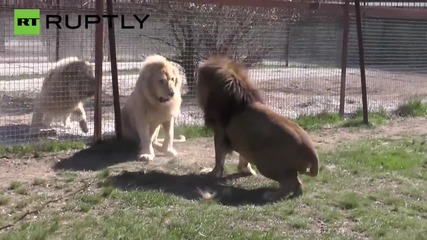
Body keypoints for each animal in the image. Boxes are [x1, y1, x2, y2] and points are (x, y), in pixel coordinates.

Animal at [196, 56, 320, 201]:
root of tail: (311, 152)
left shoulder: (220, 134)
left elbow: (219, 158)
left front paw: (212, 173)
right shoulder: (243, 141)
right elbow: (243, 157)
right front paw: (245, 170)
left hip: (266, 163)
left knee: (290, 182)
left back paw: (271, 195)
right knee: (298, 183)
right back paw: (294, 194)